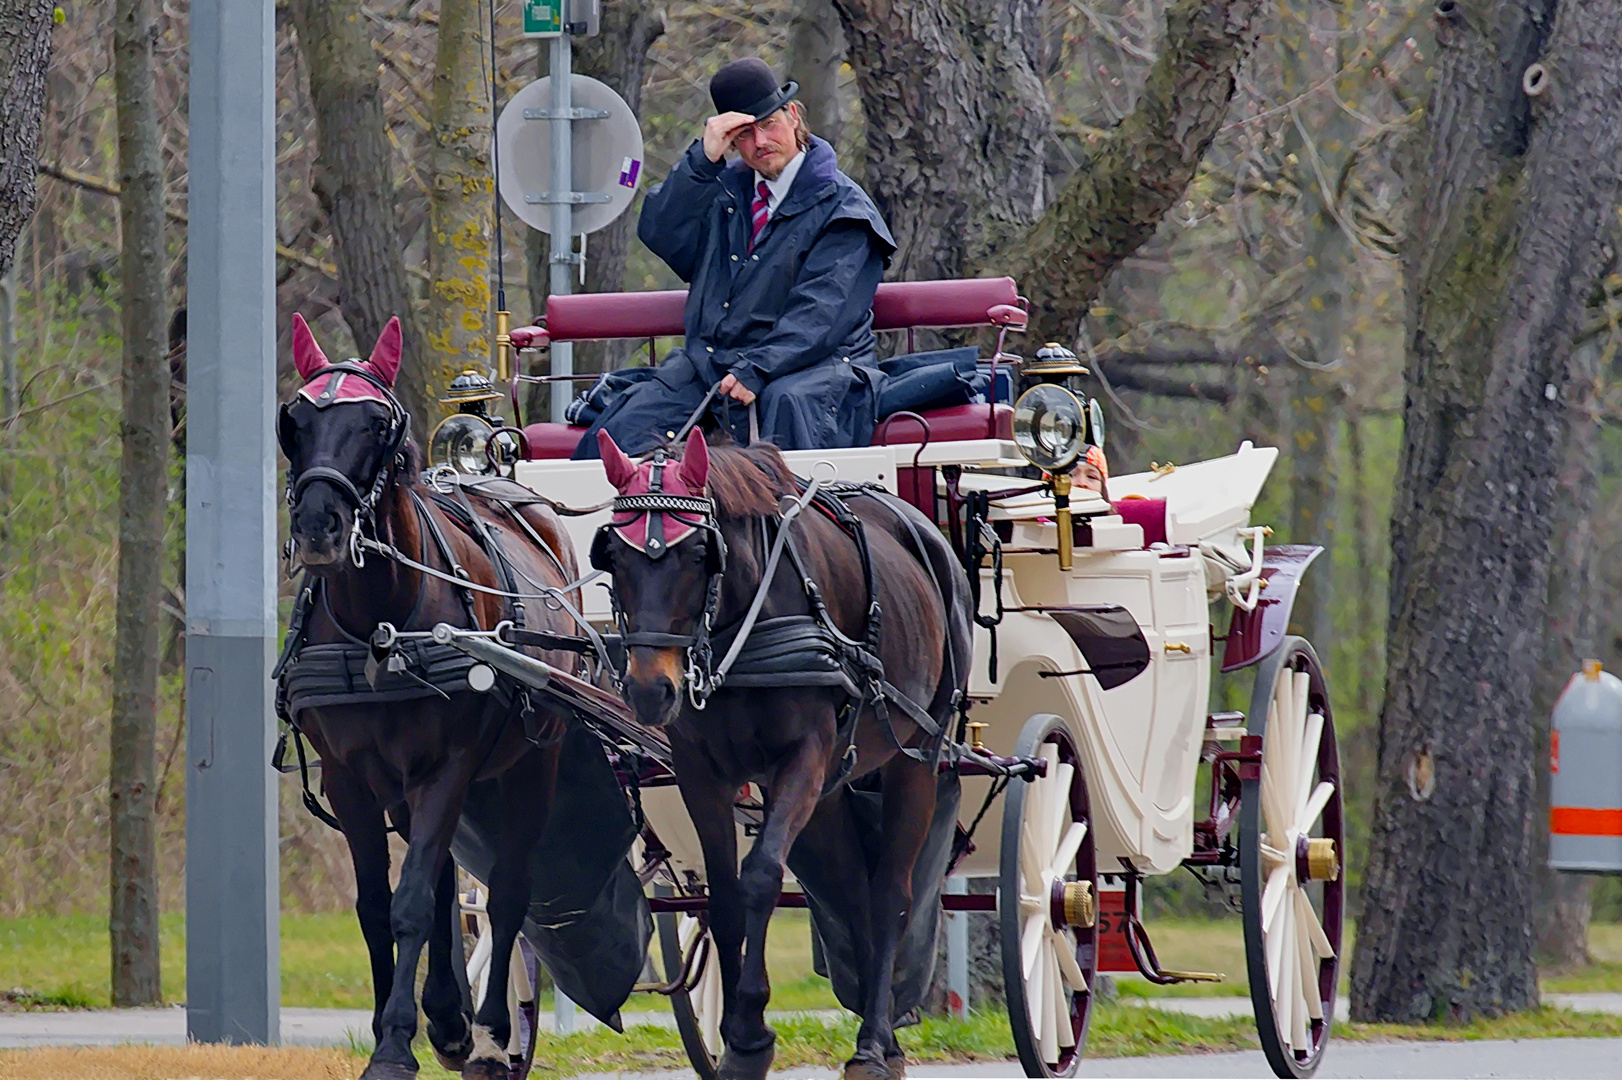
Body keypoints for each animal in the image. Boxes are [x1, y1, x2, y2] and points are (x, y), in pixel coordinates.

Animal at [278, 311, 577, 1076]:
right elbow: (379, 906)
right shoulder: (351, 775)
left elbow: (414, 901)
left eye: (376, 422)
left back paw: (493, 1030)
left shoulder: (449, 766)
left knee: (505, 896)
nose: (318, 527)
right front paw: (405, 1029)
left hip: (533, 762)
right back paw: (447, 1017)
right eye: (294, 420)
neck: (380, 622)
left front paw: (397, 1042)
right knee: (446, 881)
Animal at [596, 428, 973, 1076]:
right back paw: (886, 1039)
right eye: (615, 557)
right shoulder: (699, 772)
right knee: (853, 888)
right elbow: (723, 895)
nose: (649, 689)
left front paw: (751, 1028)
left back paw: (874, 1041)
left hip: (915, 754)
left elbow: (761, 876)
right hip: (832, 790)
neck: (740, 624)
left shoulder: (803, 755)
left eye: (699, 555)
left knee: (890, 895)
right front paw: (734, 1038)